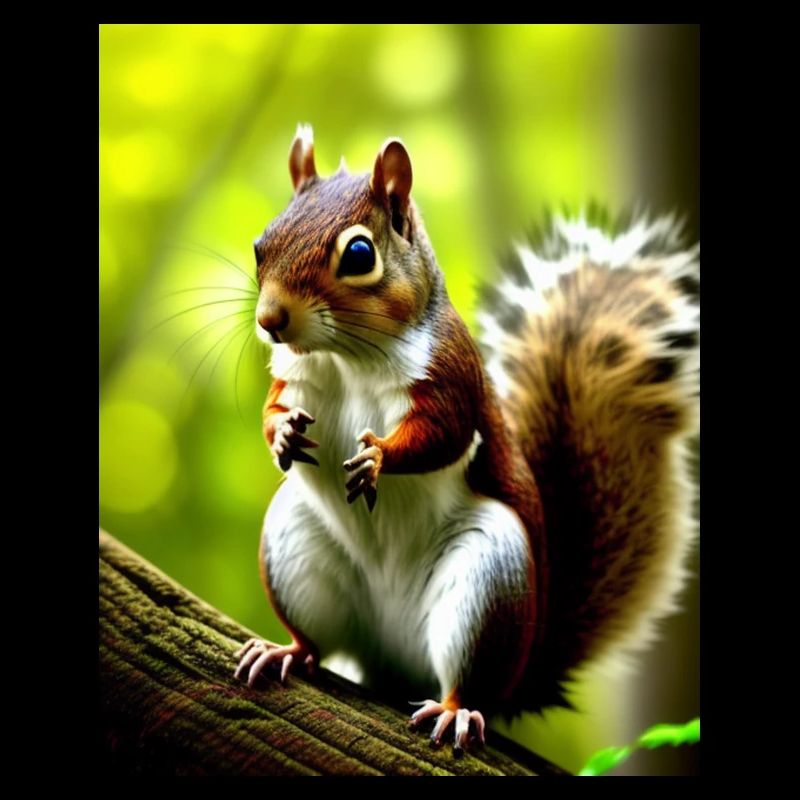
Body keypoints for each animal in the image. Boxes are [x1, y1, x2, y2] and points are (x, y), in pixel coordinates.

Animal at [233, 124, 700, 754]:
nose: (271, 320)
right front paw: (282, 433)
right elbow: (273, 408)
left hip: (488, 581)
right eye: (262, 245)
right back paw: (285, 650)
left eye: (359, 255)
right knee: (316, 640)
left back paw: (456, 711)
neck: (347, 357)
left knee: (469, 678)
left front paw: (377, 456)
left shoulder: (451, 376)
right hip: (294, 548)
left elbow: (443, 435)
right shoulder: (295, 376)